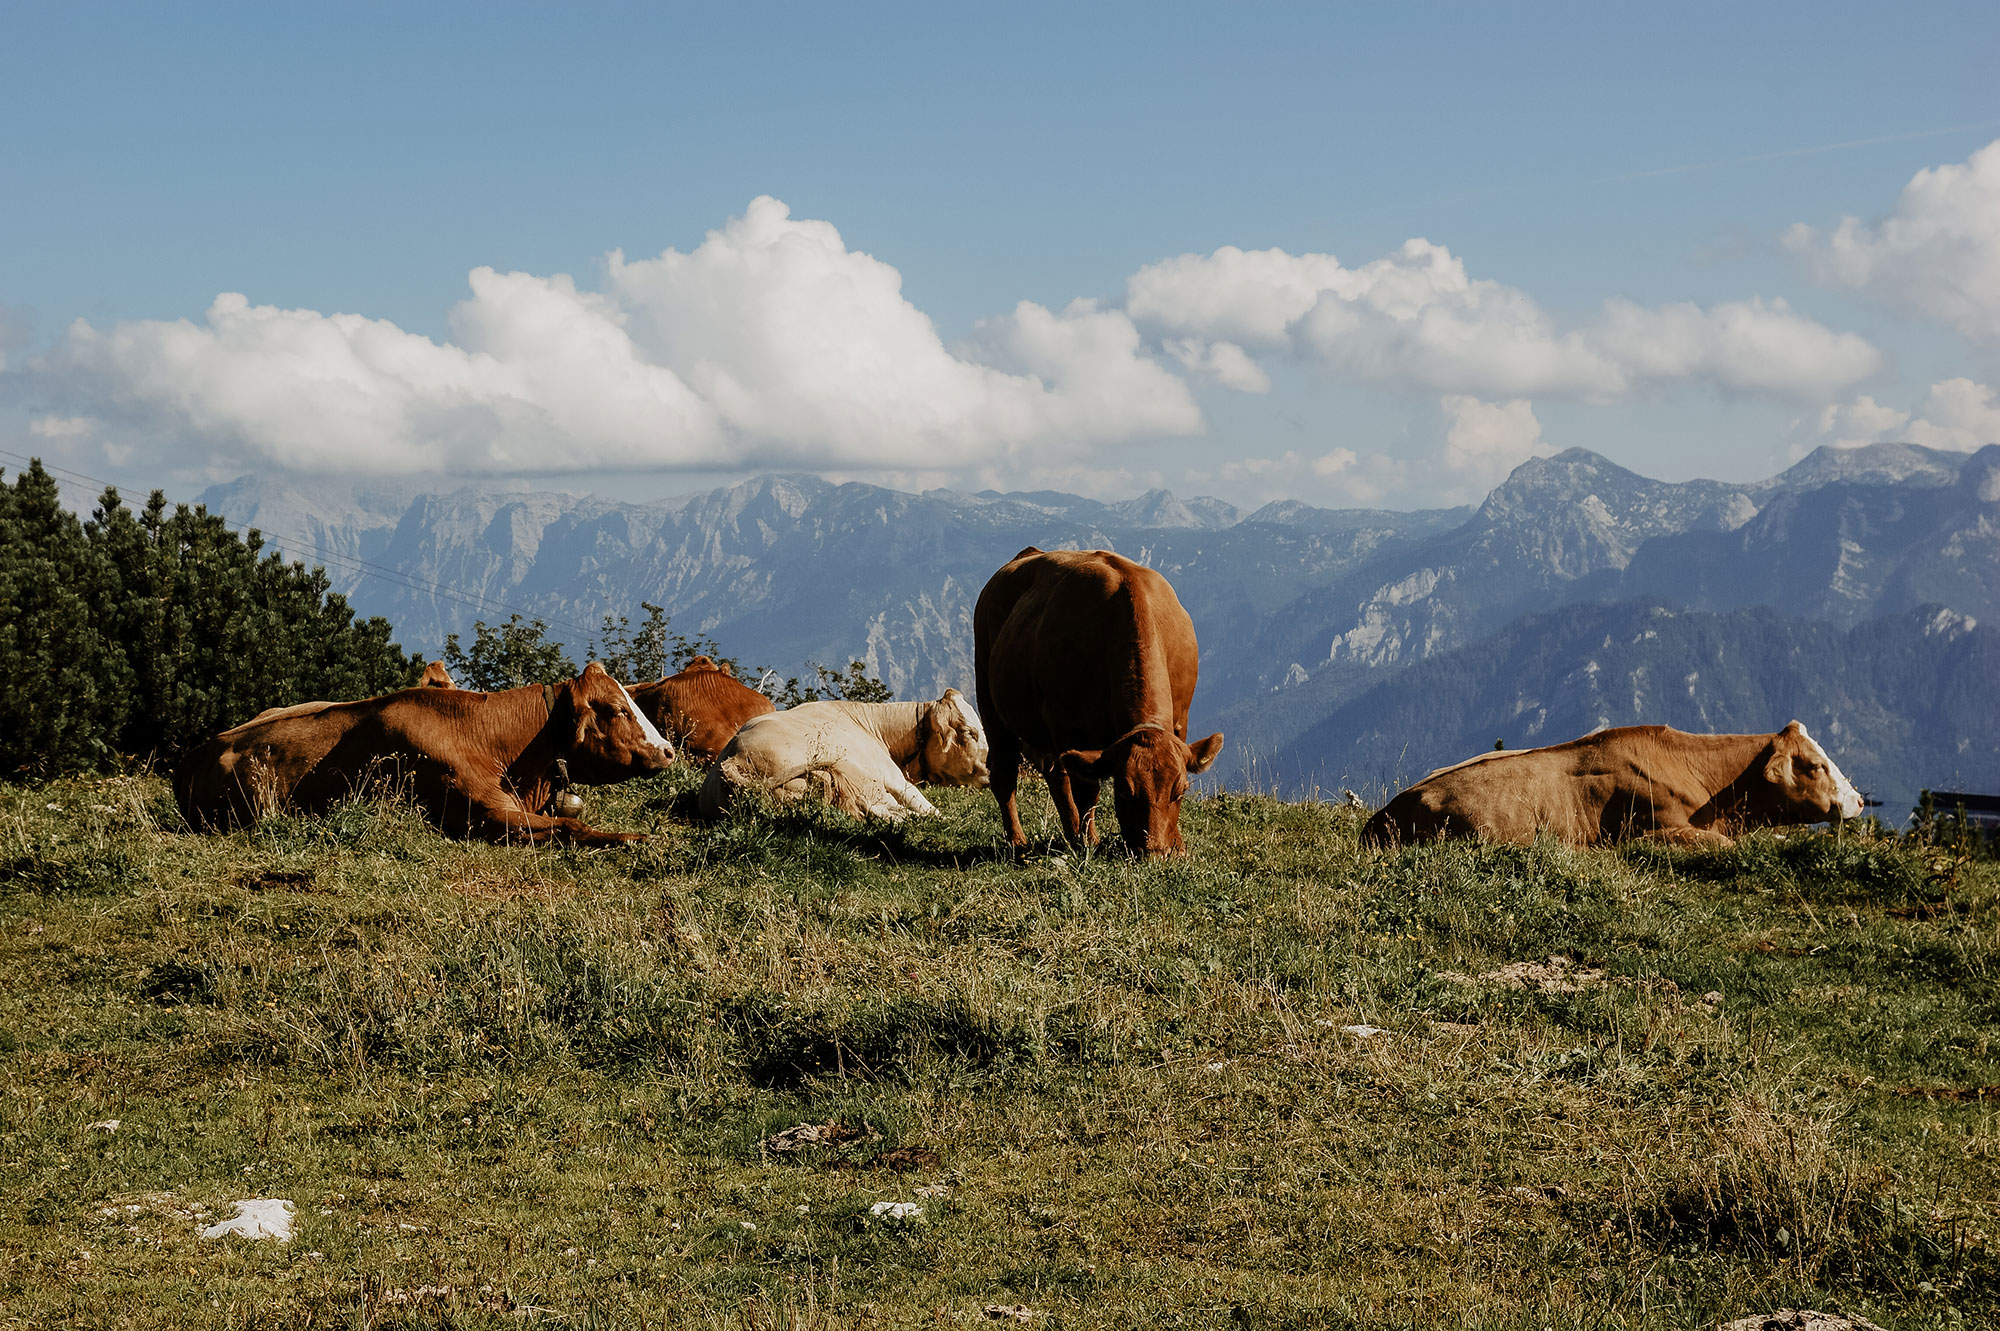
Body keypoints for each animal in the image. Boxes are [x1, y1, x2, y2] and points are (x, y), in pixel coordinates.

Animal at [700, 687, 988, 815]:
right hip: (851, 770)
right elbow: (927, 807)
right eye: (968, 732)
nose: (990, 770)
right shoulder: (892, 776)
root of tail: (734, 757)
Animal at [976, 543, 1224, 855]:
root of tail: (1029, 552)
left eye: (1180, 791)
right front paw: (1090, 841)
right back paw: (1020, 840)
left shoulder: (1181, 720)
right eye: (1124, 791)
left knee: (1054, 775)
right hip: (989, 698)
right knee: (1007, 774)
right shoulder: (1070, 725)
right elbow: (1086, 790)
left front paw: (1178, 844)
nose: (1154, 852)